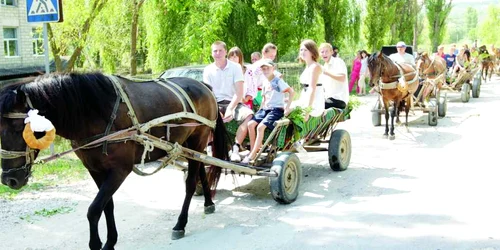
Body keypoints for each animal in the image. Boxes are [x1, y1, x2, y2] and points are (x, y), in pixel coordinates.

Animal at [0, 72, 230, 248]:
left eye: (18, 128)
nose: (9, 180)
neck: (94, 113)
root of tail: (202, 84)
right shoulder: (95, 169)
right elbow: (106, 205)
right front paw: (110, 241)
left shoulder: (120, 170)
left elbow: (94, 209)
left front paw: (96, 244)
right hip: (190, 145)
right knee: (201, 169)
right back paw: (208, 203)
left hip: (198, 139)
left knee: (190, 183)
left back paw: (180, 223)